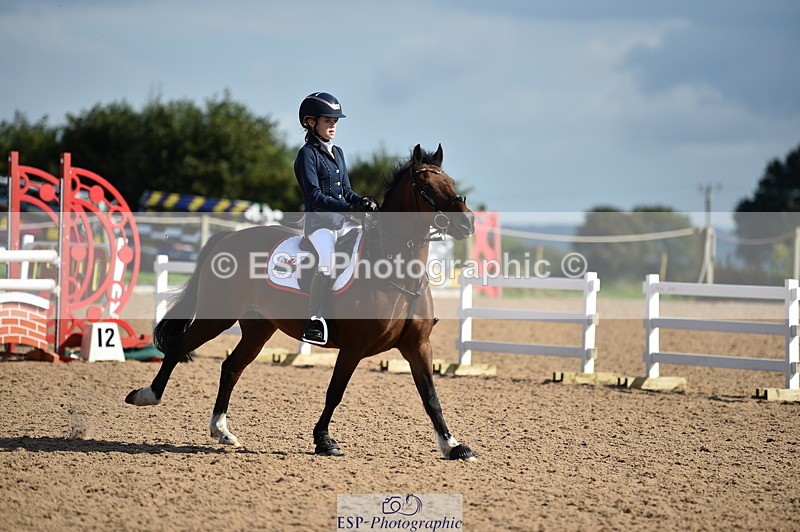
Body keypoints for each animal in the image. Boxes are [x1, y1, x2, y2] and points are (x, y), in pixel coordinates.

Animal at [126, 144, 477, 460]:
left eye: (451, 183)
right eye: (426, 186)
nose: (468, 223)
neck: (397, 271)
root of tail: (228, 238)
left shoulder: (417, 346)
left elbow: (430, 396)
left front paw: (453, 446)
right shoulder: (354, 347)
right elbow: (335, 392)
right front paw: (324, 440)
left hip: (258, 328)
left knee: (231, 367)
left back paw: (222, 430)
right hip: (216, 316)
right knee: (179, 347)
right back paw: (146, 396)